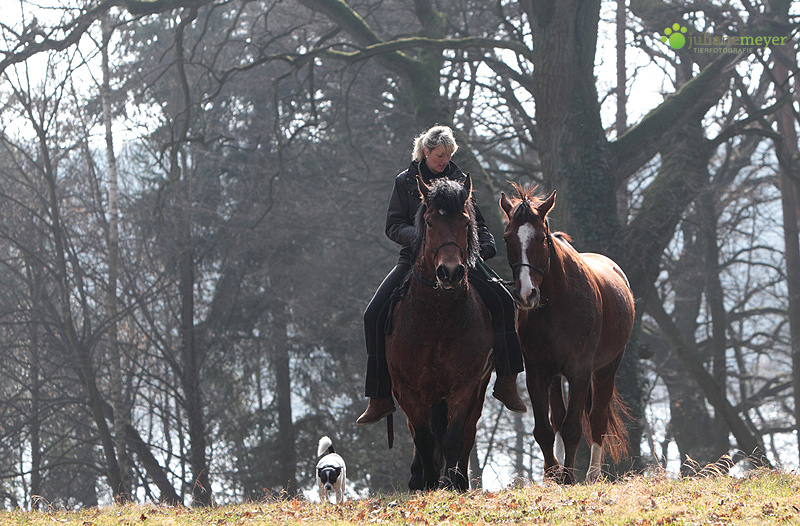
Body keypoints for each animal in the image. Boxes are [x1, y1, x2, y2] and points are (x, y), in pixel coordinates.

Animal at [388, 175, 494, 492]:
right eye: (430, 222)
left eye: (465, 222)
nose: (450, 273)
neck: (437, 321)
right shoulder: (407, 390)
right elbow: (423, 438)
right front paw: (429, 482)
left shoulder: (466, 386)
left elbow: (453, 436)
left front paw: (451, 483)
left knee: (466, 432)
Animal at [496, 187, 636, 486]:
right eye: (507, 237)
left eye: (541, 237)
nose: (526, 295)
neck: (558, 304)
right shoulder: (538, 372)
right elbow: (546, 429)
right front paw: (553, 475)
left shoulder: (580, 371)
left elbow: (573, 427)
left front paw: (569, 477)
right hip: (556, 376)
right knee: (559, 418)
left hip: (607, 369)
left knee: (597, 418)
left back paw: (593, 475)